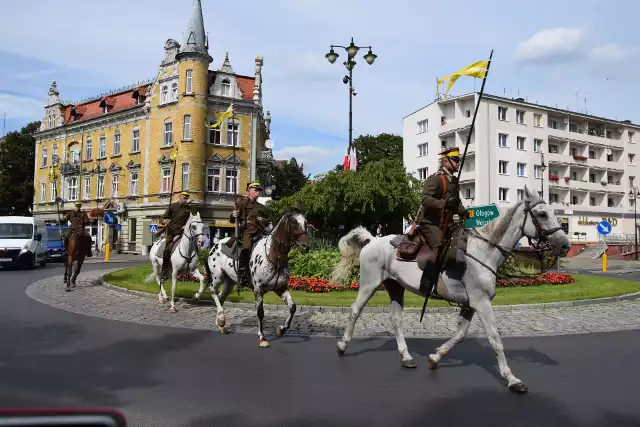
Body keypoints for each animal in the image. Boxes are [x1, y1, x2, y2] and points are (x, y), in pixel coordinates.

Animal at [196, 210, 312, 348]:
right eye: (293, 224)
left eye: (305, 223)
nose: (306, 246)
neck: (274, 255)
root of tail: (215, 245)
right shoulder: (259, 290)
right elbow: (260, 312)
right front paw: (262, 337)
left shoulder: (281, 288)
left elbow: (292, 307)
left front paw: (281, 329)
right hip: (218, 277)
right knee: (213, 291)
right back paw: (221, 318)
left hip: (230, 282)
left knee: (220, 297)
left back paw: (220, 324)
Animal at [330, 187, 568, 394]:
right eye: (542, 214)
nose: (565, 245)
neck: (484, 251)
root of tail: (372, 240)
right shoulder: (481, 303)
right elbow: (495, 339)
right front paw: (512, 379)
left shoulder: (470, 305)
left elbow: (460, 335)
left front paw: (436, 357)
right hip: (369, 284)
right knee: (355, 310)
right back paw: (342, 346)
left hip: (395, 287)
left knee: (395, 319)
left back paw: (406, 357)